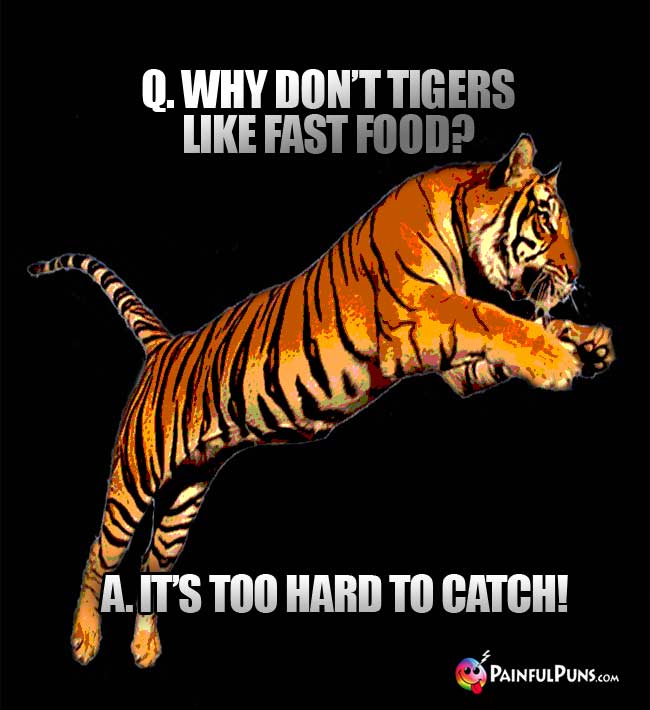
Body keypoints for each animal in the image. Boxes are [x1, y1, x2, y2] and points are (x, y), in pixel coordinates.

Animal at [28, 134, 614, 668]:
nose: (577, 276)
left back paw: (145, 648)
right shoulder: (422, 317)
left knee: (154, 566)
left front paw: (588, 341)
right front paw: (557, 358)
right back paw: (84, 639)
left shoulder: (457, 370)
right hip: (135, 479)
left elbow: (512, 336)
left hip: (184, 495)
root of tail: (164, 344)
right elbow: (494, 317)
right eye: (546, 221)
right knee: (98, 553)